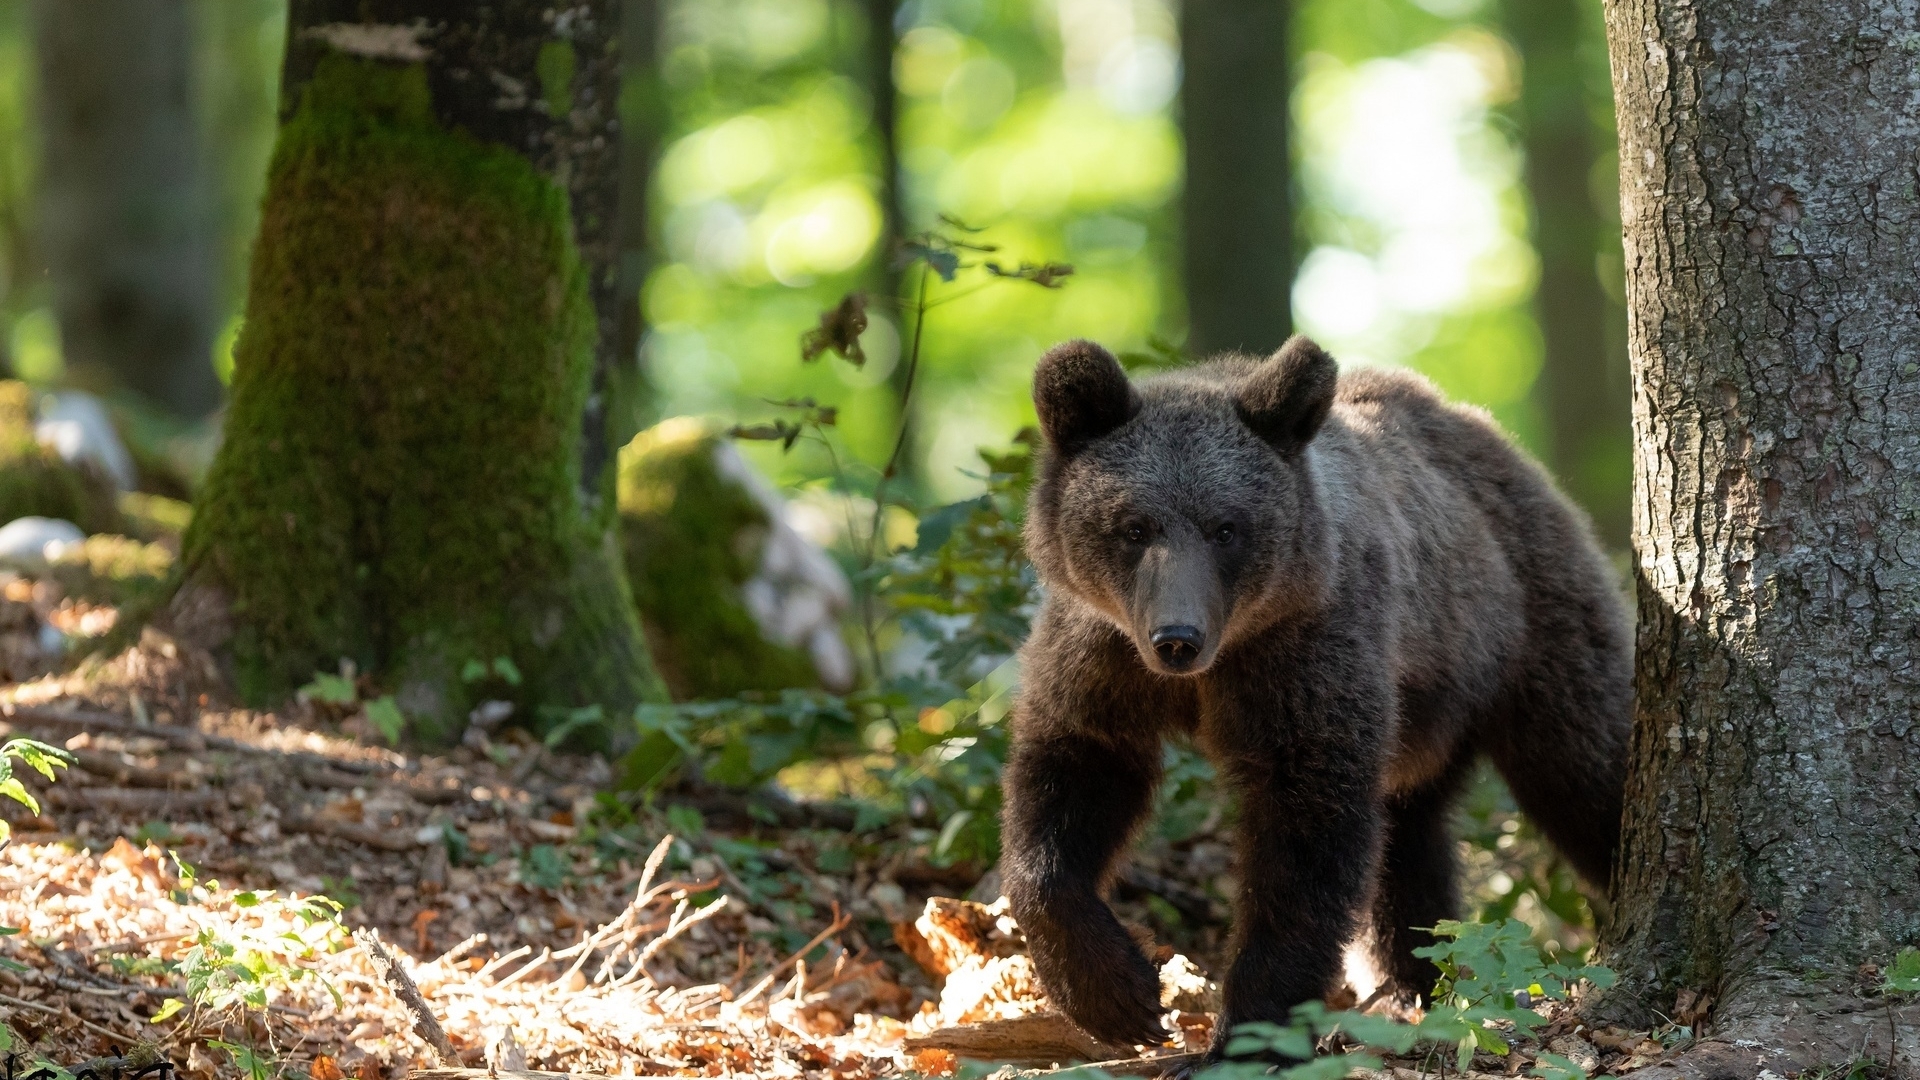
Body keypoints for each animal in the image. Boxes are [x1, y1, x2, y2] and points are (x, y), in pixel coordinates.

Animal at [1000, 335, 1631, 1056]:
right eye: (1133, 526)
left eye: (1226, 527)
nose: (1177, 638)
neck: (1214, 668)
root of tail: (1482, 427)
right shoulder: (1100, 657)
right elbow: (1071, 780)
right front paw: (1117, 995)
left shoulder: (1307, 658)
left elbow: (1305, 835)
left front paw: (1242, 1034)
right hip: (1425, 713)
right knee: (1409, 845)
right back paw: (1416, 982)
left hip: (1525, 625)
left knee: (1585, 768)